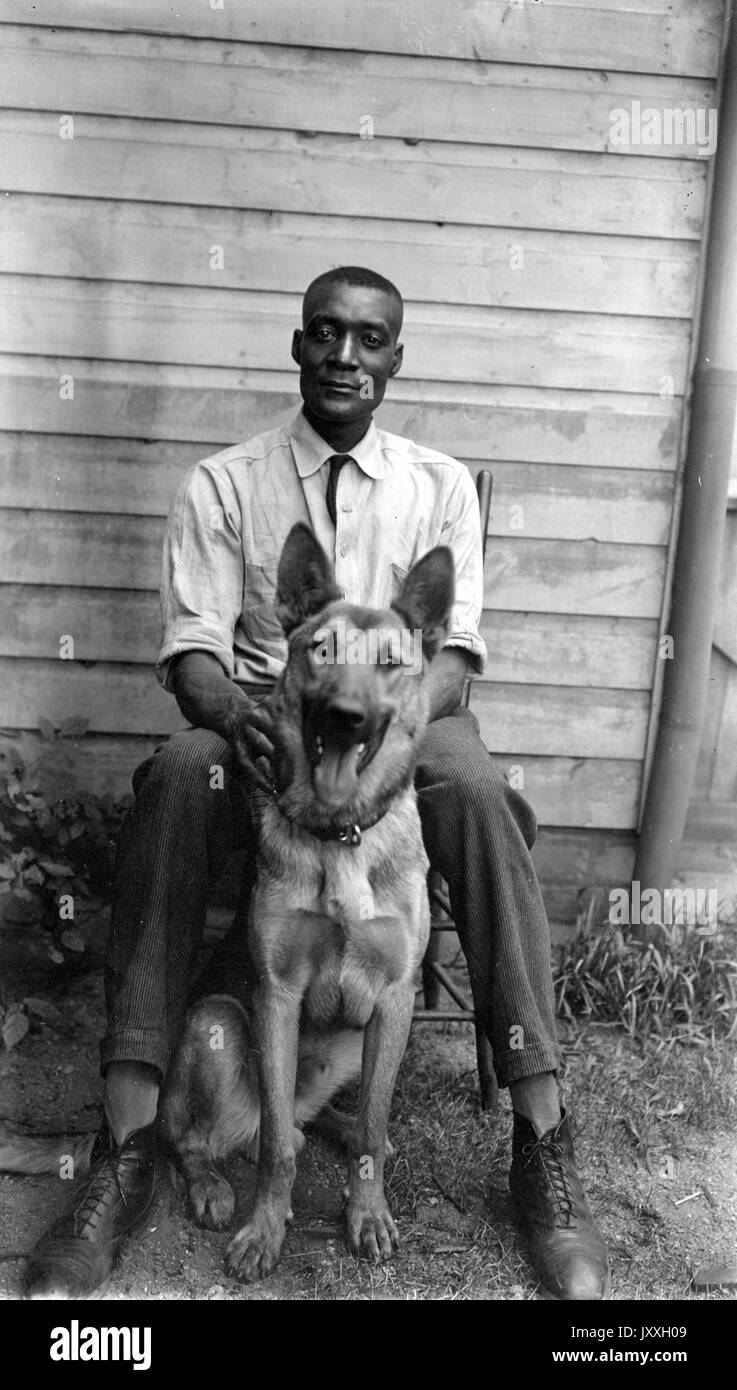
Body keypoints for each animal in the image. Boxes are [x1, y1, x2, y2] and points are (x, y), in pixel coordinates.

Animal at [162, 522, 450, 1278]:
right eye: (320, 650)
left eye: (391, 663)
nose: (345, 717)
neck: (342, 832)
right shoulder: (276, 996)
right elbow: (273, 1153)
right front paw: (265, 1230)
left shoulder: (395, 997)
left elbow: (374, 1127)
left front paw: (367, 1214)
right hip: (216, 1023)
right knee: (204, 1138)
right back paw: (211, 1182)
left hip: (364, 1038)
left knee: (331, 1120)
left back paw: (341, 1126)